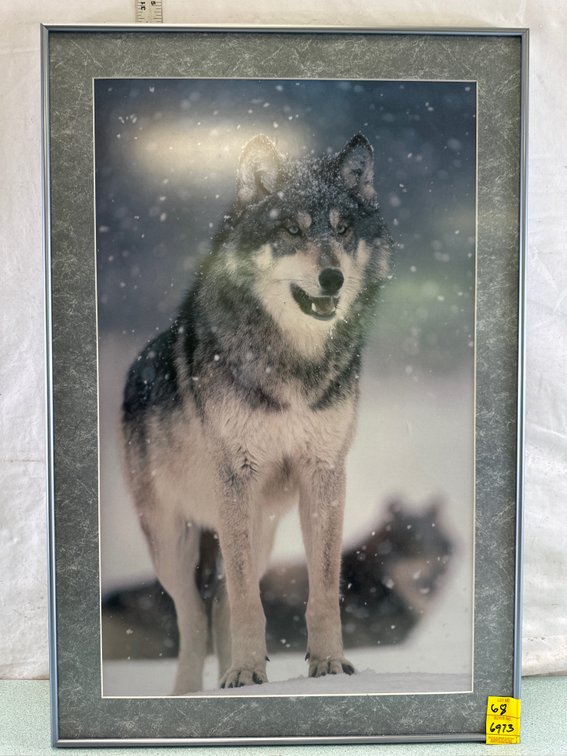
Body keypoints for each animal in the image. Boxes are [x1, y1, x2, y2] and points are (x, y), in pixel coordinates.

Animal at [122, 133, 392, 693]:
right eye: (292, 230)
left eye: (343, 229)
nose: (332, 278)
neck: (293, 364)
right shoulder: (235, 476)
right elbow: (247, 599)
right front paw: (247, 670)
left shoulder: (325, 473)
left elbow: (322, 588)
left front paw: (328, 665)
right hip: (174, 543)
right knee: (193, 615)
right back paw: (191, 691)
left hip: (261, 530)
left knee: (221, 604)